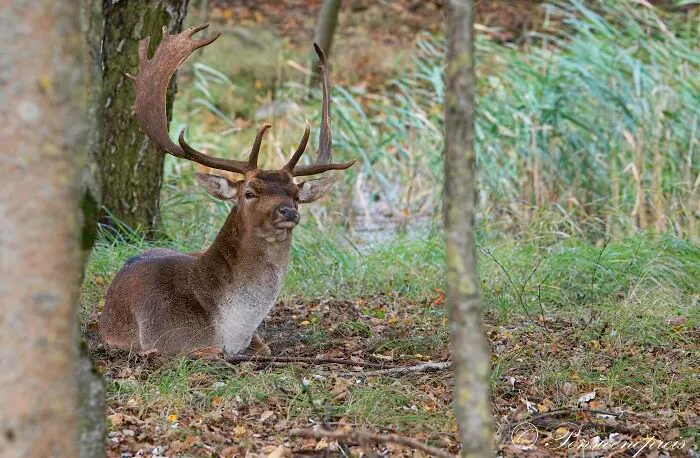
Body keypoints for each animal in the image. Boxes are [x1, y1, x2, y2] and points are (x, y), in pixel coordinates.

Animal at [98, 24, 355, 356]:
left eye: (296, 195)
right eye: (249, 193)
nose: (288, 211)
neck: (232, 330)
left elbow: (265, 348)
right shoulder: (167, 341)